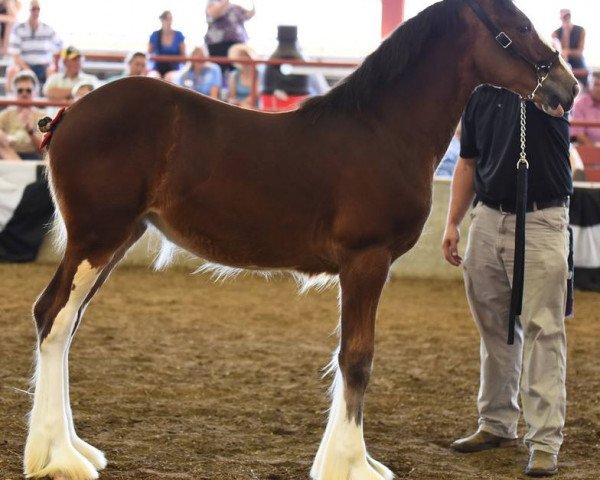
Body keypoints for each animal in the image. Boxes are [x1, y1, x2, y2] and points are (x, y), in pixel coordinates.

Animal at [25, 0, 580, 480]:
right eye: (521, 26)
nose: (568, 87)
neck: (383, 130)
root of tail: (70, 113)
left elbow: (348, 358)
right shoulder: (366, 261)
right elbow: (356, 359)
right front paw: (352, 465)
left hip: (114, 241)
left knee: (65, 324)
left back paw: (75, 449)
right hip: (97, 240)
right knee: (53, 318)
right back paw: (58, 457)